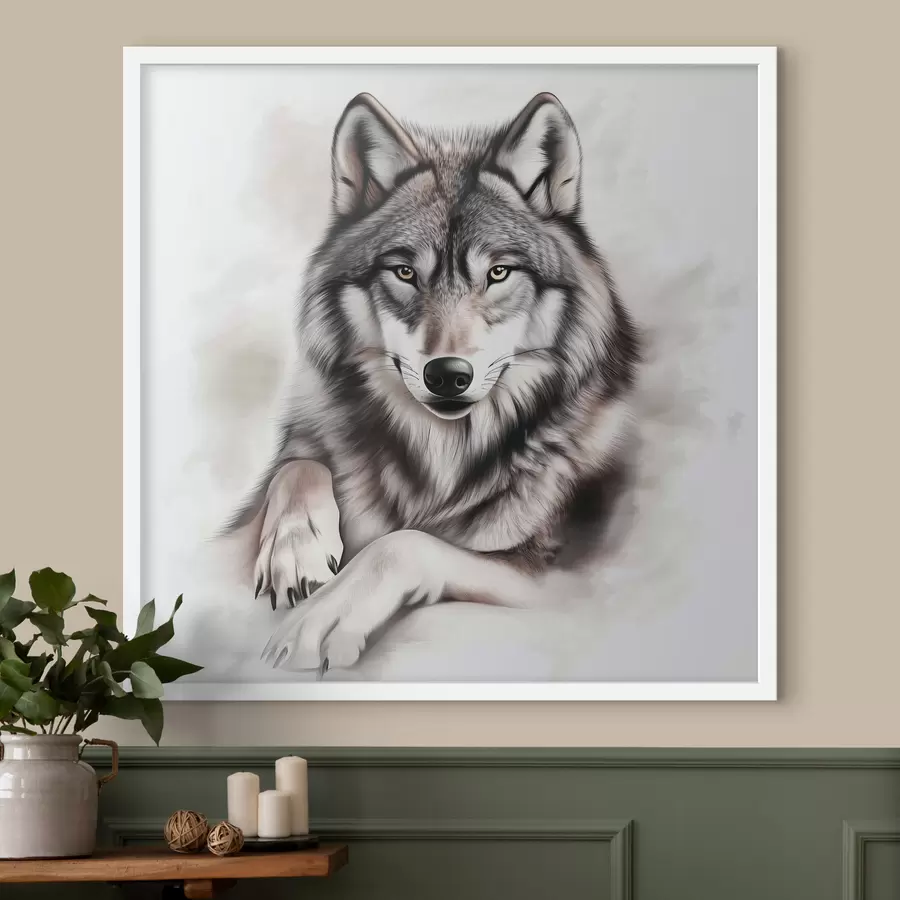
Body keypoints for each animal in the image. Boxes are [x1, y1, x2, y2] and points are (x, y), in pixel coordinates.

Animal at [228, 92, 640, 673]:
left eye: (498, 273)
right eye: (404, 273)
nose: (447, 375)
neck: (441, 455)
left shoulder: (559, 577)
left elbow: (403, 543)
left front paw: (324, 617)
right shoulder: (307, 432)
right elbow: (298, 465)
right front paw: (295, 550)